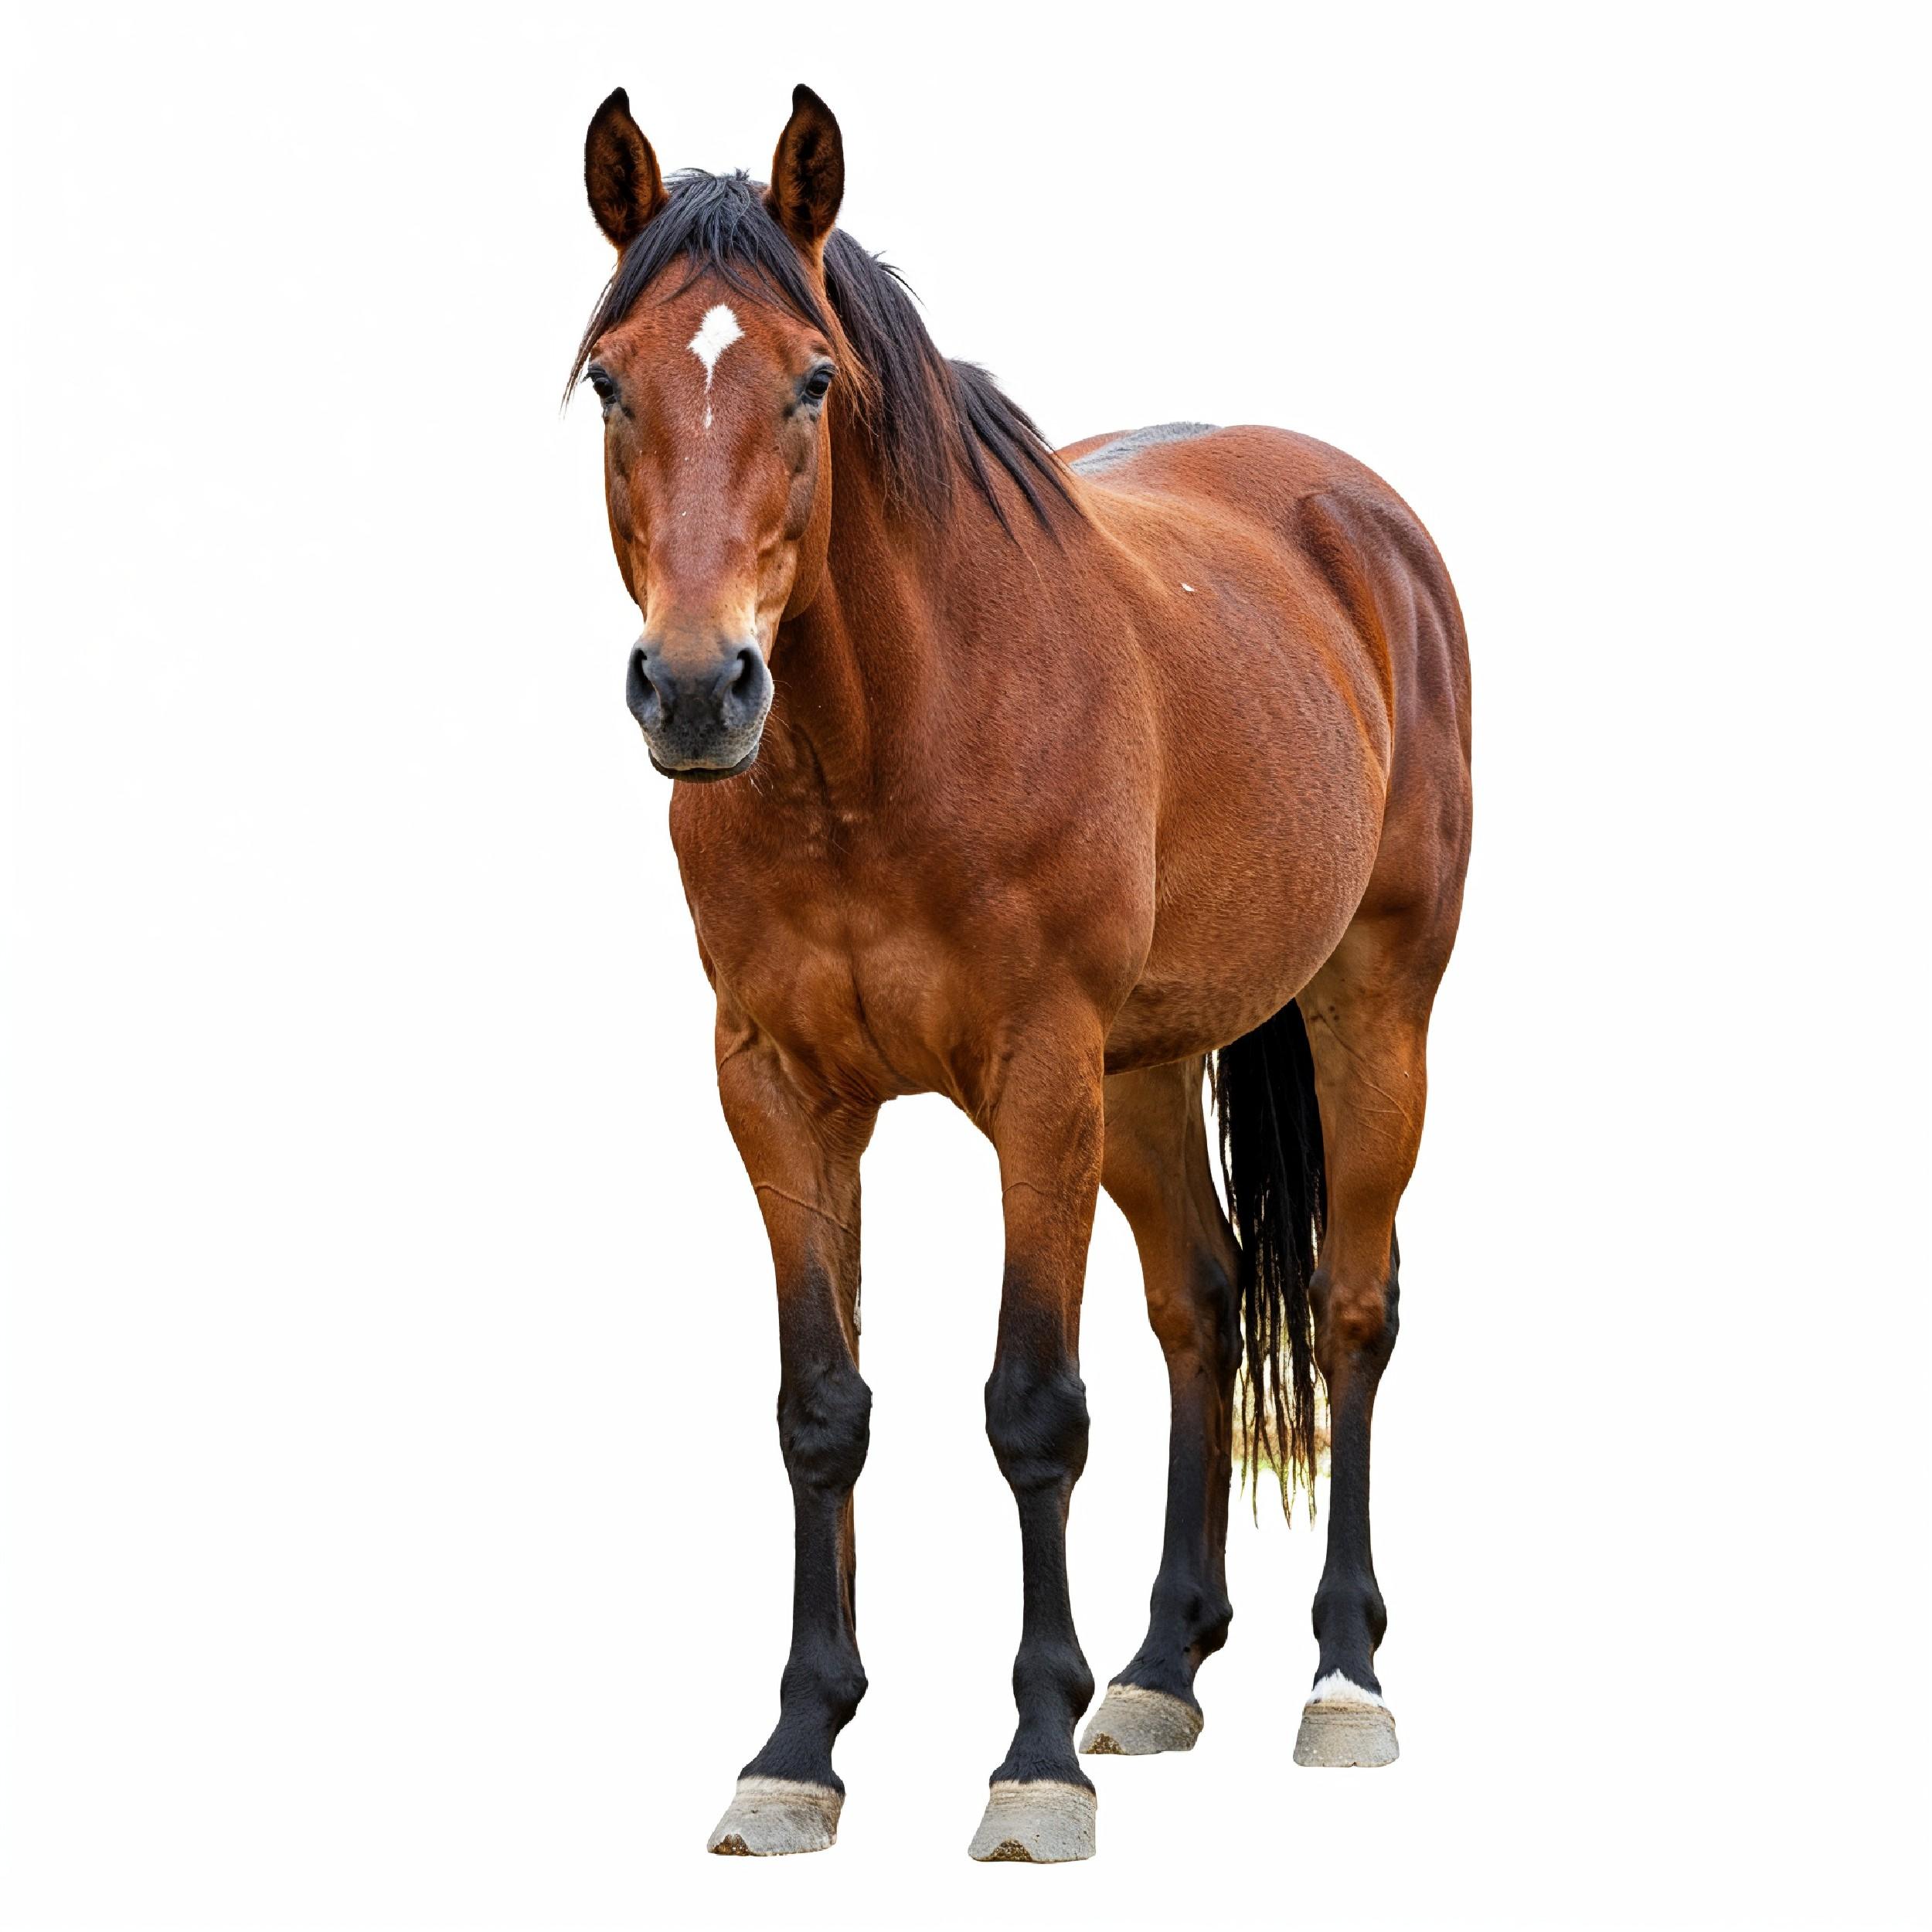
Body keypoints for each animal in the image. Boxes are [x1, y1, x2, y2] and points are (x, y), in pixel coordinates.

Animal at [569, 84, 1472, 1863]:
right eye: (610, 379)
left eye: (812, 378)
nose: (698, 690)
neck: (887, 740)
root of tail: (1359, 519)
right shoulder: (778, 1089)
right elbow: (821, 1407)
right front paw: (797, 1747)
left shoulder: (1036, 1075)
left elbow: (1034, 1407)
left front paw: (1032, 1761)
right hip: (1145, 1074)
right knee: (1202, 1305)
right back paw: (1162, 1665)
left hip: (1369, 1006)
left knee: (1348, 1309)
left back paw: (1341, 1678)